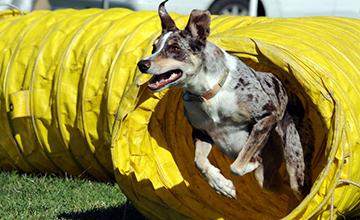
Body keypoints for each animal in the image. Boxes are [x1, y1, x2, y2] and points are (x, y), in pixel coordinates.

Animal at [136, 0, 314, 211]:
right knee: (281, 188)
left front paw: (248, 164)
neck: (208, 93)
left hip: (294, 161)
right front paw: (221, 185)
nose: (142, 64)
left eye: (175, 49)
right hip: (267, 180)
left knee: (296, 189)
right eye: (154, 47)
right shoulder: (201, 132)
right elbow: (199, 161)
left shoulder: (266, 115)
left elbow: (237, 165)